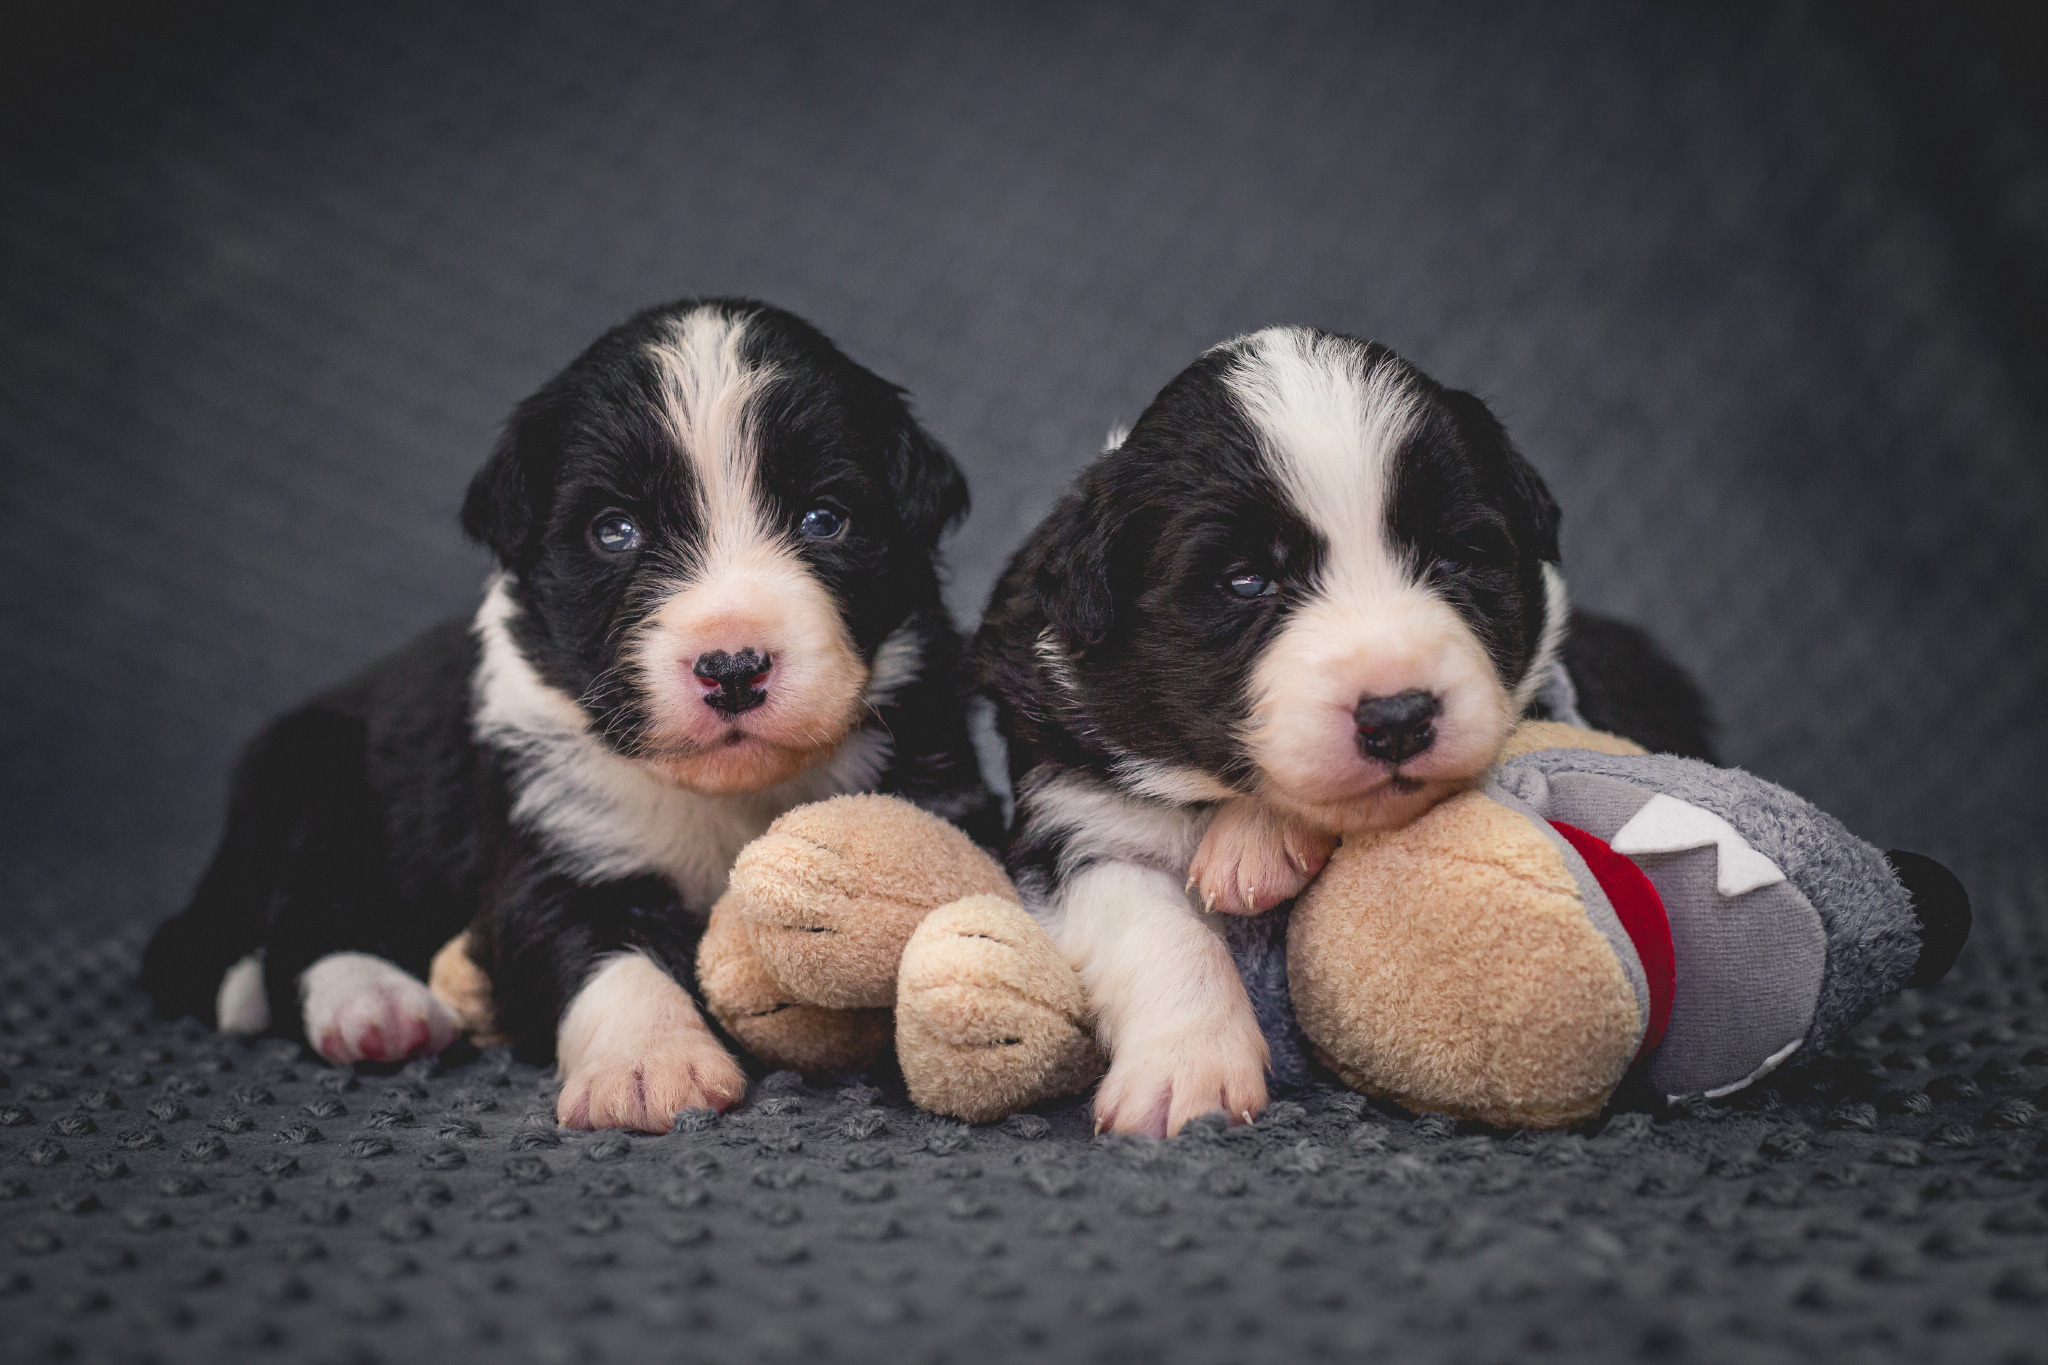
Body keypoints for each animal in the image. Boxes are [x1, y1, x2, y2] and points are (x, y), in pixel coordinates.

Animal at [142, 304, 991, 1137]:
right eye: (614, 530)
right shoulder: (550, 836)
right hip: (314, 783)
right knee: (304, 919)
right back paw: (373, 1005)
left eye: (824, 518)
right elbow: (596, 947)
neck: (722, 795)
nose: (733, 668)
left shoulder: (934, 773)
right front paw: (649, 1065)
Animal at [974, 325, 1712, 1137]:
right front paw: (1187, 1070)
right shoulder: (1072, 811)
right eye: (1246, 580)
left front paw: (1256, 841)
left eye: (1457, 557)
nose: (1398, 717)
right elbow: (1155, 926)